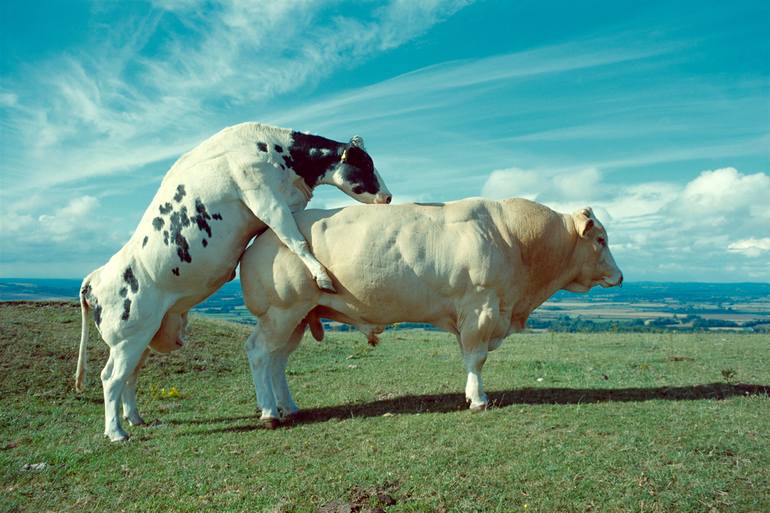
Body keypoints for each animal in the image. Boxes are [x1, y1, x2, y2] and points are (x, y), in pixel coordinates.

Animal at [75, 121, 390, 440]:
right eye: (365, 165)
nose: (388, 198)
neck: (275, 149)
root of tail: (94, 278)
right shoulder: (265, 199)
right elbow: (294, 239)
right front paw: (322, 275)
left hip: (142, 337)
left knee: (129, 376)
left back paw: (135, 419)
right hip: (127, 338)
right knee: (111, 378)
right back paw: (116, 432)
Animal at [237, 196, 620, 420]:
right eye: (601, 239)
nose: (619, 276)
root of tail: (265, 237)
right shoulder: (481, 307)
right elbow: (476, 357)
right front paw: (477, 398)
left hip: (299, 317)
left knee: (277, 360)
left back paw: (288, 406)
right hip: (281, 310)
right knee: (259, 353)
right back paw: (269, 412)